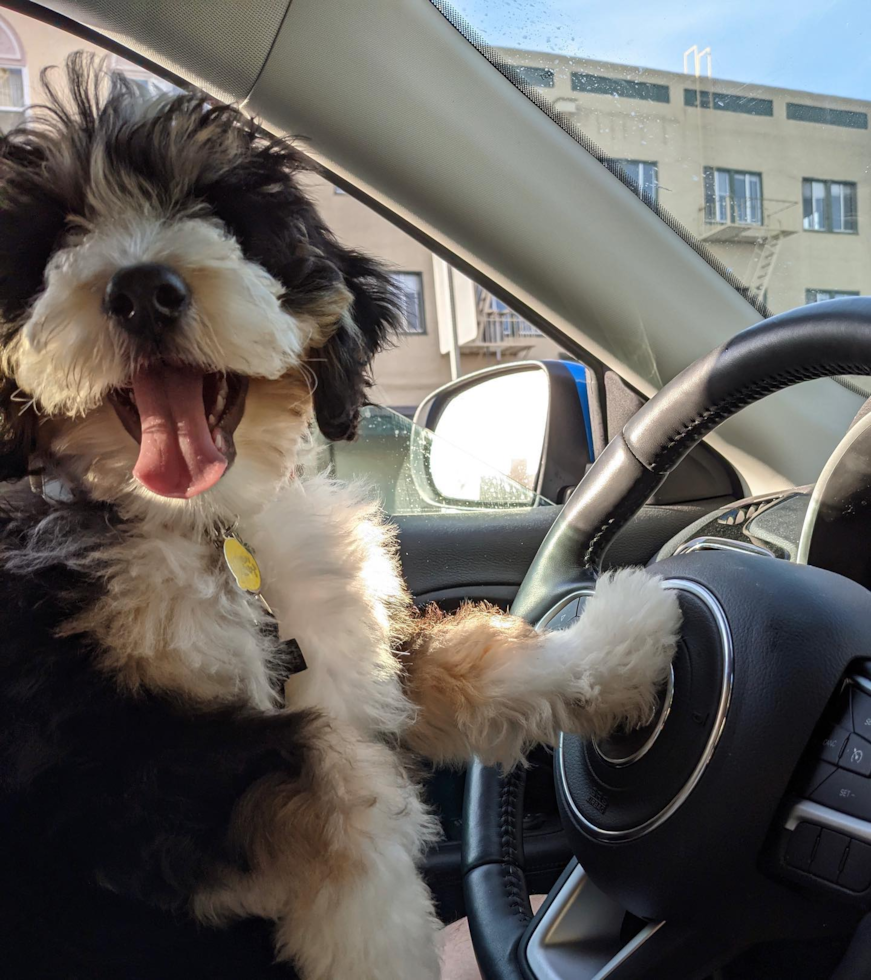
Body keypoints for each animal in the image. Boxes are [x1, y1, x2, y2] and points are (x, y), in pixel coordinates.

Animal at [0, 55, 680, 980]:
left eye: (220, 212)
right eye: (49, 245)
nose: (142, 290)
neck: (213, 531)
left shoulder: (349, 645)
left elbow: (470, 658)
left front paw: (622, 640)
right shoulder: (108, 772)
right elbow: (332, 785)